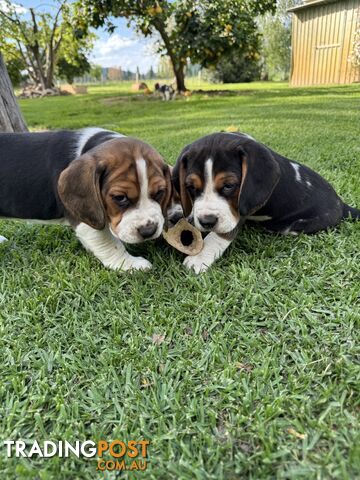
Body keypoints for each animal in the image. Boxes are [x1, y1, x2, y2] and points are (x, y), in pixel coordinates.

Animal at [0, 127, 172, 270]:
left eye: (159, 192)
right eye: (120, 198)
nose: (149, 231)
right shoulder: (87, 218)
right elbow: (109, 243)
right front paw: (129, 264)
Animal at [173, 131, 358, 274]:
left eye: (229, 185)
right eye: (190, 187)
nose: (206, 221)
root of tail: (341, 204)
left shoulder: (240, 210)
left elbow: (220, 235)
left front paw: (199, 258)